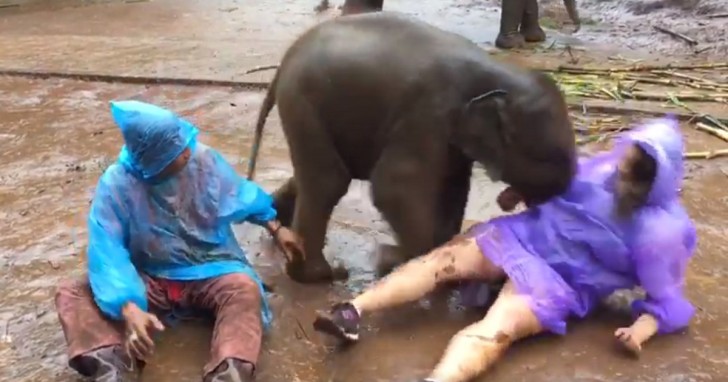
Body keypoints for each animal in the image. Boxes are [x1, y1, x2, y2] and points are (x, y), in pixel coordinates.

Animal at [247, 12, 576, 284]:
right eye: (547, 157)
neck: (495, 72)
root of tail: (285, 61)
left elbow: (452, 186)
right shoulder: (426, 112)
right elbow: (395, 186)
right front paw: (386, 260)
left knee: (314, 174)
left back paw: (277, 229)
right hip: (303, 102)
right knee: (329, 181)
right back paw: (323, 274)